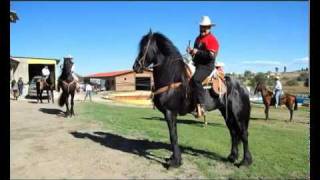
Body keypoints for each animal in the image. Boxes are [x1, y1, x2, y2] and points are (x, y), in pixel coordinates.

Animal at [132, 30, 252, 168]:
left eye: (144, 48)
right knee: (233, 133)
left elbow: (173, 136)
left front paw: (175, 161)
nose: (135, 66)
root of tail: (243, 86)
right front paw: (173, 158)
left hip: (239, 115)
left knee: (243, 134)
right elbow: (173, 135)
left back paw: (245, 162)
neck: (173, 78)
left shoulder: (170, 112)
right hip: (227, 114)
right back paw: (232, 157)